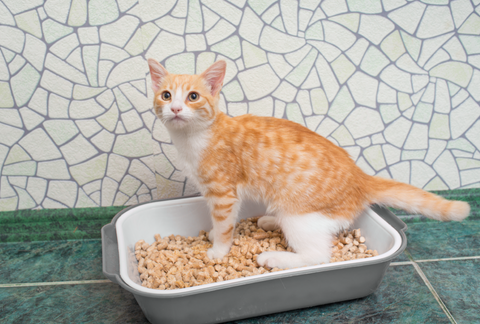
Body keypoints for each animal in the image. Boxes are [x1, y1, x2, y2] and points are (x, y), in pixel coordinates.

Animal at [148, 59, 470, 270]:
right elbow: (220, 222)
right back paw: (269, 220)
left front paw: (218, 249)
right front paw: (214, 236)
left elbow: (224, 224)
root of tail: (360, 177)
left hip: (299, 216)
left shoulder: (223, 193)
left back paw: (275, 258)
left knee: (318, 256)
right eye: (166, 95)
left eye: (193, 97)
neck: (193, 139)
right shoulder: (221, 194)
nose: (175, 108)